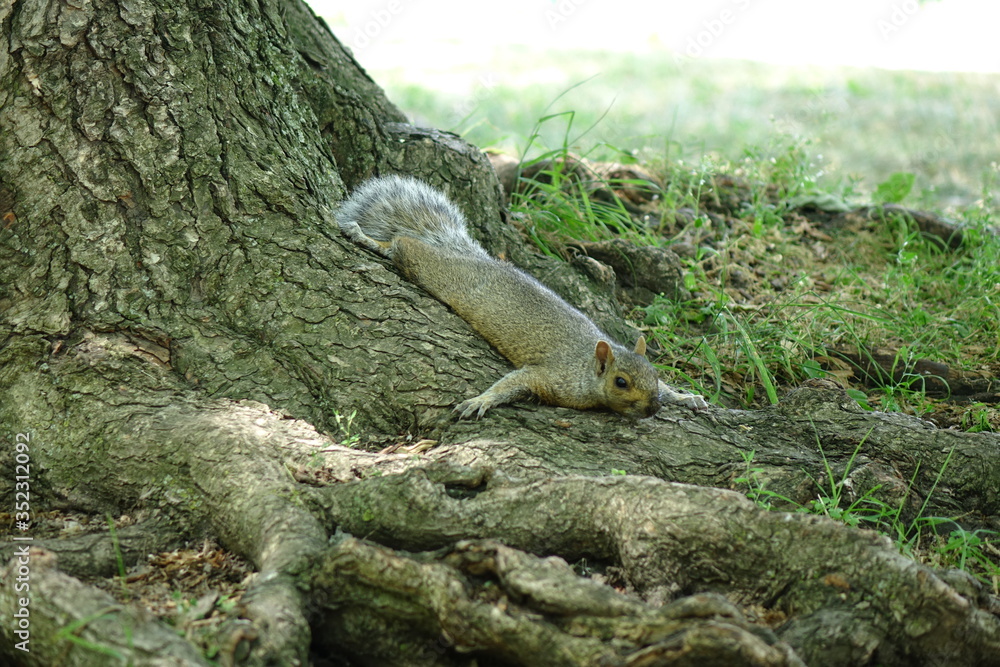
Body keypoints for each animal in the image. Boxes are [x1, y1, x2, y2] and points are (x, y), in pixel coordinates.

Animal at [335, 174, 708, 419]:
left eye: (655, 375)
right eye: (621, 382)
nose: (653, 406)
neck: (586, 366)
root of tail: (478, 259)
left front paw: (684, 396)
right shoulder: (551, 376)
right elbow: (513, 382)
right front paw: (480, 401)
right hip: (436, 271)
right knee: (403, 245)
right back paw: (368, 239)